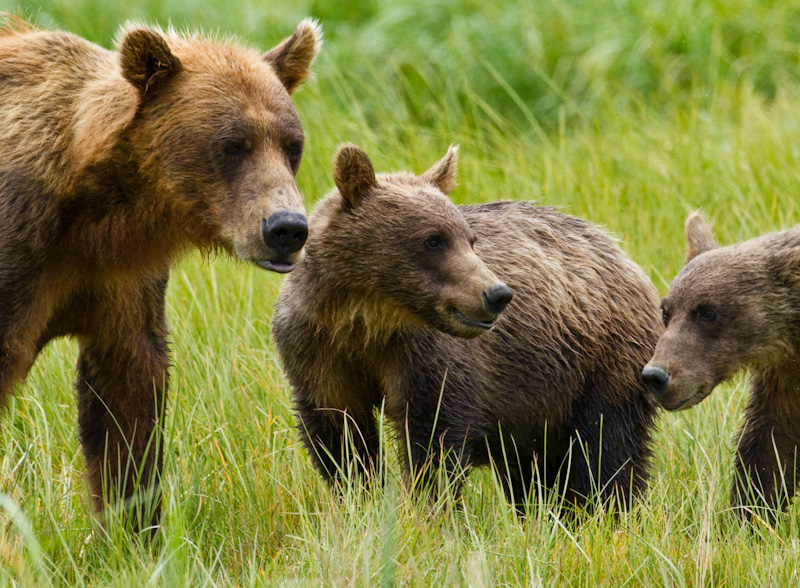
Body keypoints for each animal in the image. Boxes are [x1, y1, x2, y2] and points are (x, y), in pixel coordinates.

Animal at [2, 17, 322, 532]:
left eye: (292, 145)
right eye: (233, 145)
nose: (286, 228)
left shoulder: (119, 279)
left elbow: (126, 395)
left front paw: (132, 528)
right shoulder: (22, 244)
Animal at [276, 145, 664, 512]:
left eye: (470, 239)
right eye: (433, 239)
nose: (497, 294)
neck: (367, 320)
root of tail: (625, 258)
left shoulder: (424, 356)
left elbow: (434, 438)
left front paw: (428, 508)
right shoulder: (319, 351)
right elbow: (340, 436)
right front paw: (358, 498)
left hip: (599, 364)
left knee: (604, 449)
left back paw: (599, 512)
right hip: (537, 399)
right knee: (530, 469)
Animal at [640, 215, 800, 520]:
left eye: (707, 312)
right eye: (665, 312)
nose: (656, 376)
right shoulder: (784, 376)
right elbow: (772, 443)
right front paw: (750, 513)